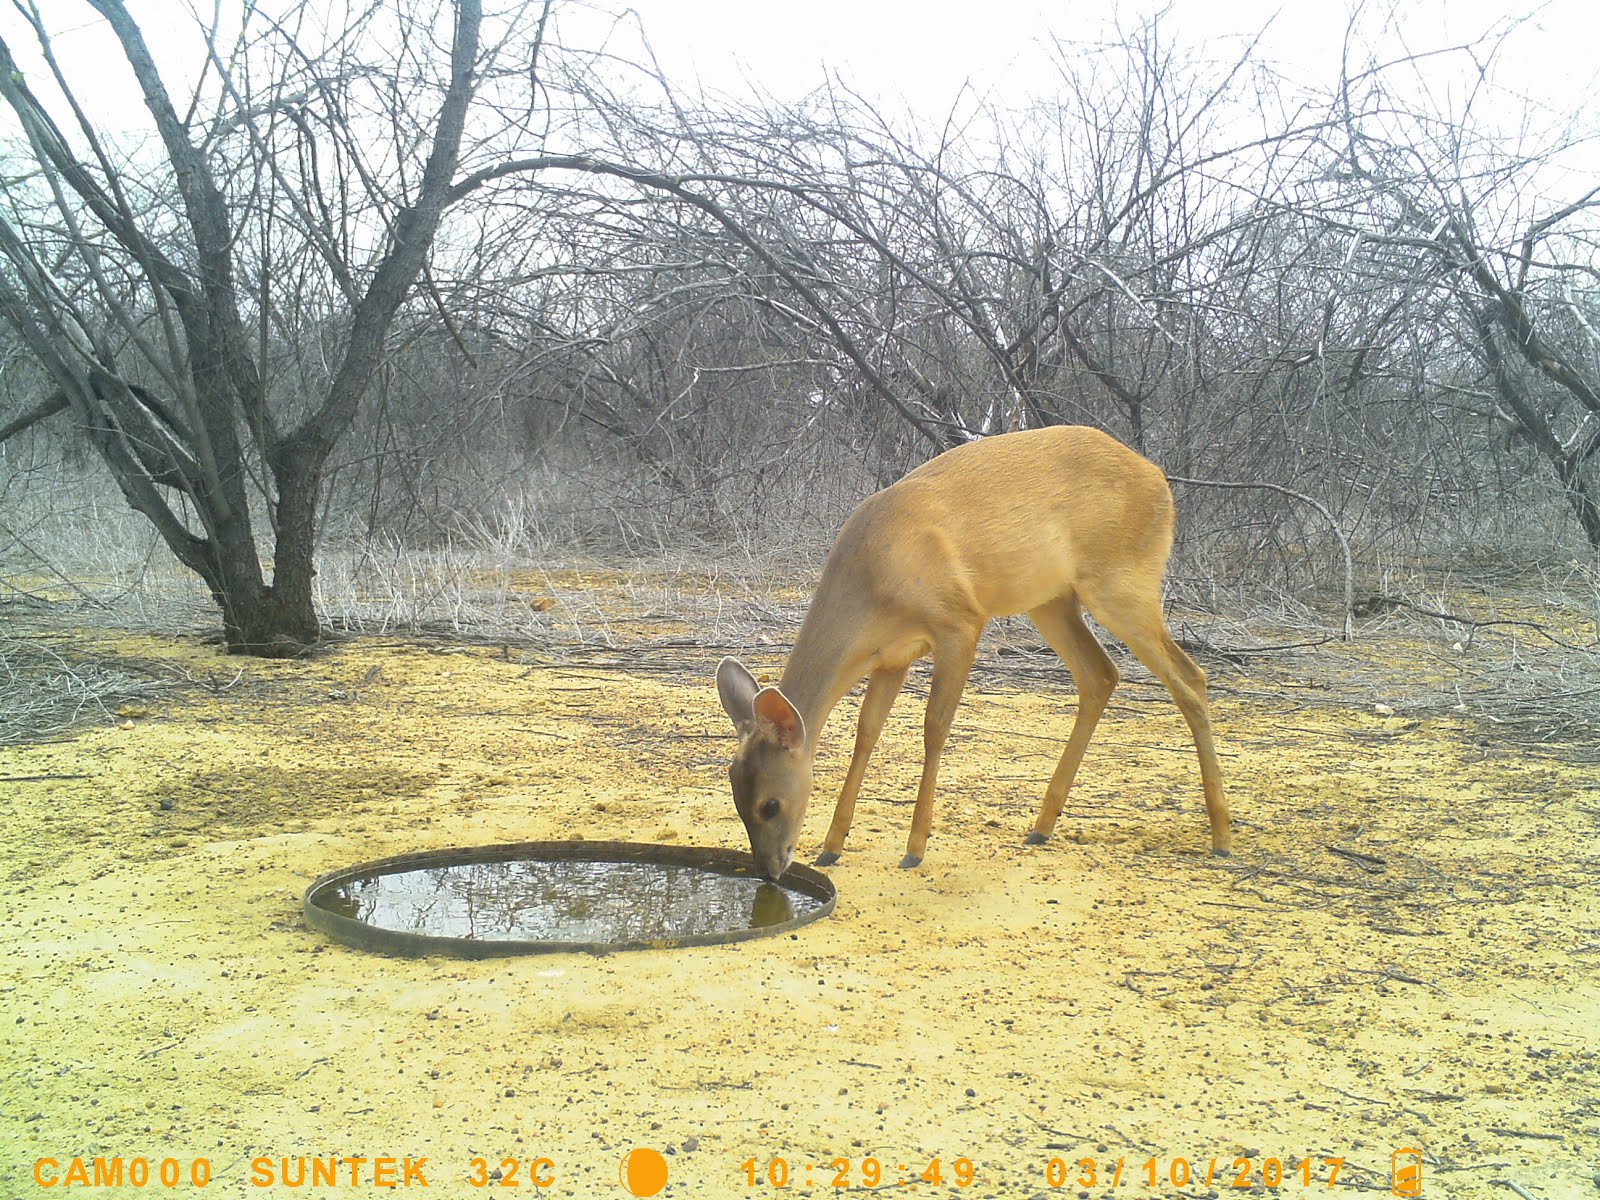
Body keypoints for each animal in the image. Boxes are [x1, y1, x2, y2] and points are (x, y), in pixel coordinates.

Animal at [720, 425, 1228, 883]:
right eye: (735, 795)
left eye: (770, 804)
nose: (770, 871)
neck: (875, 580)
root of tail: (1158, 477)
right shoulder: (892, 655)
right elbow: (867, 733)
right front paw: (831, 846)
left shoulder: (959, 623)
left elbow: (935, 726)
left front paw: (914, 849)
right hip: (1051, 599)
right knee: (1101, 674)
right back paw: (1041, 827)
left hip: (1122, 581)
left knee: (1189, 676)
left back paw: (1221, 835)